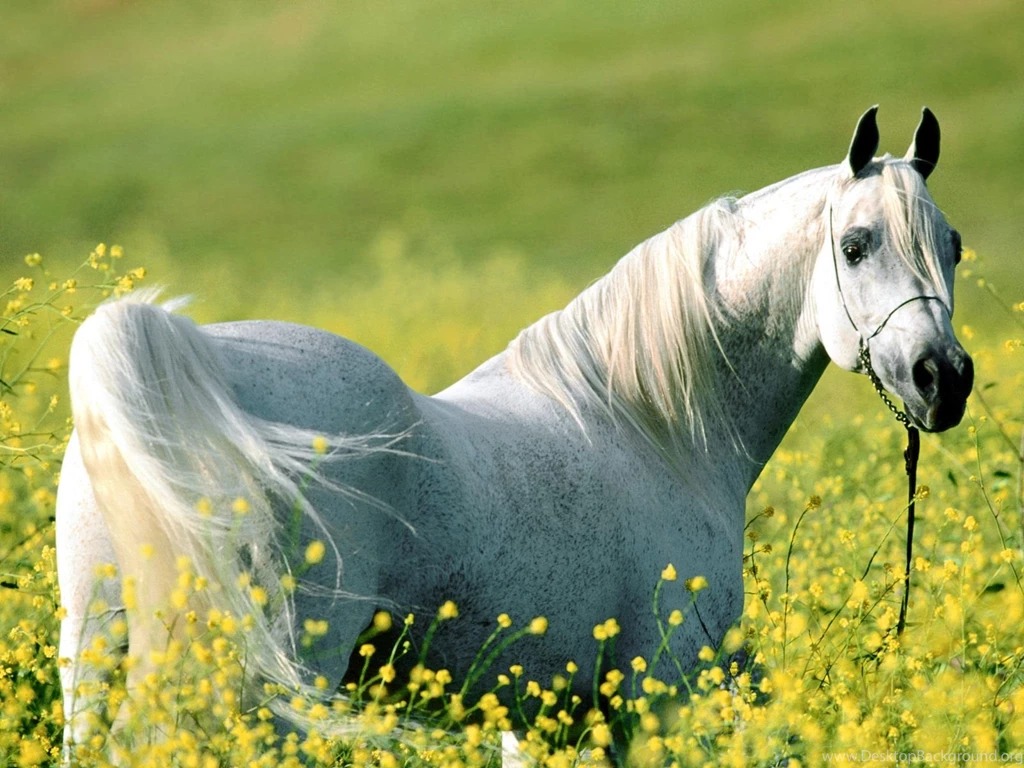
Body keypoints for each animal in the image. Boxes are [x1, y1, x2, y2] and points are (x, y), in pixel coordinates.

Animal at [56, 106, 973, 755]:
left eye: (954, 246)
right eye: (854, 245)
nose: (946, 378)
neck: (652, 427)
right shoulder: (662, 699)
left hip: (97, 658)